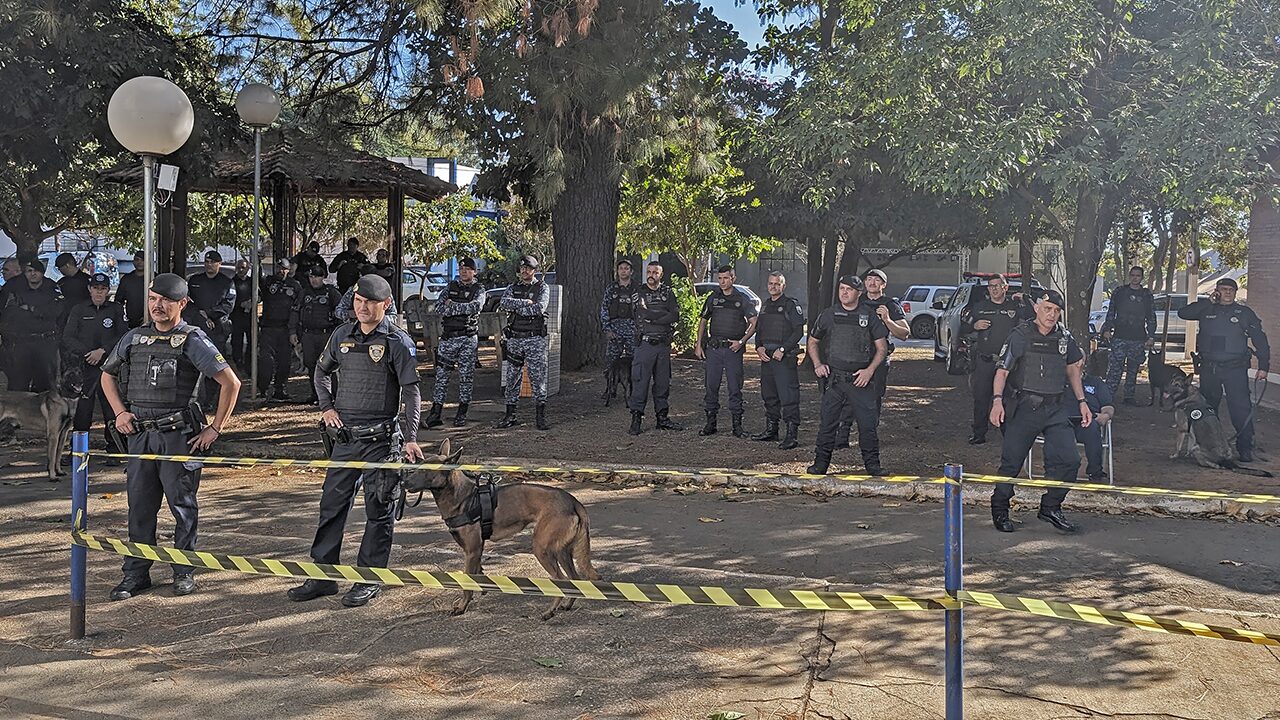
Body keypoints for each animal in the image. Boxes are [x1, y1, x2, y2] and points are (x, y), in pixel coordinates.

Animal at [399, 438, 599, 617]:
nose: (402, 482)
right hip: (562, 551)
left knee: (561, 580)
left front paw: (462, 606)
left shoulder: (471, 550)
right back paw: (567, 605)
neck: (464, 498)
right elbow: (477, 574)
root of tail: (573, 501)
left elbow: (467, 583)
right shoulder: (476, 549)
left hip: (542, 548)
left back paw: (550, 611)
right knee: (575, 580)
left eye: (426, 471)